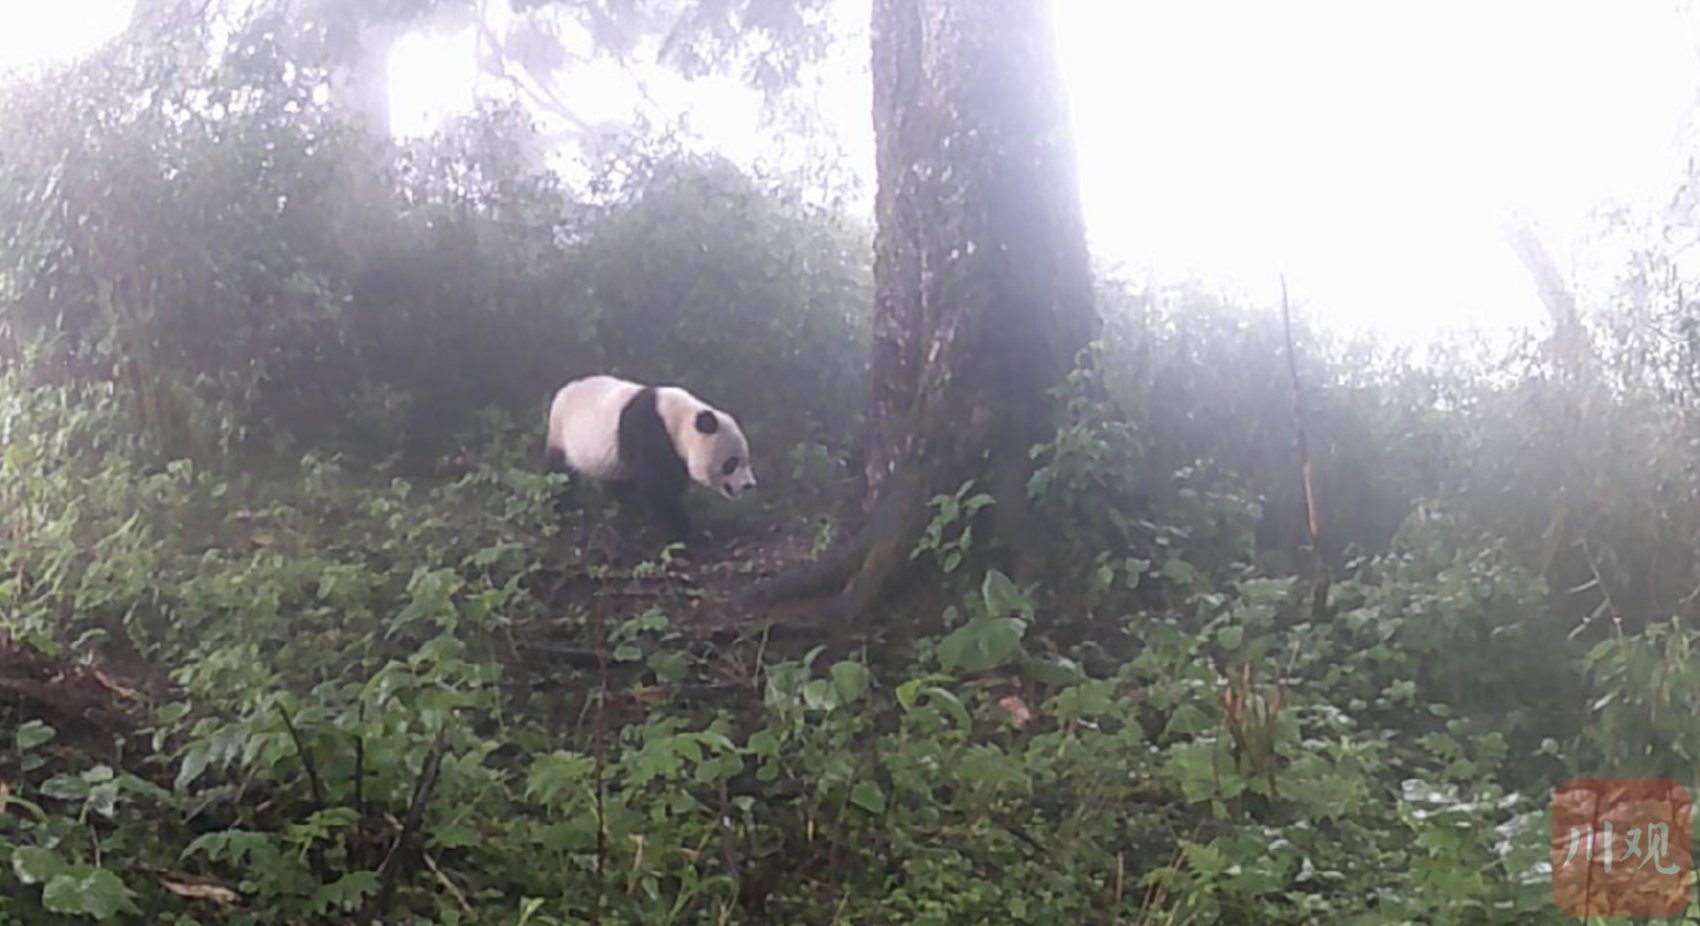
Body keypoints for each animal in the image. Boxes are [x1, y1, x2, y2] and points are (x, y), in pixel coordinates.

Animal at [544, 373, 758, 543]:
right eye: (731, 463)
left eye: (746, 459)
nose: (749, 485)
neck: (679, 420)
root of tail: (563, 390)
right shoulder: (649, 431)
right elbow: (658, 488)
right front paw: (687, 534)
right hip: (562, 434)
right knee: (560, 475)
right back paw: (562, 507)